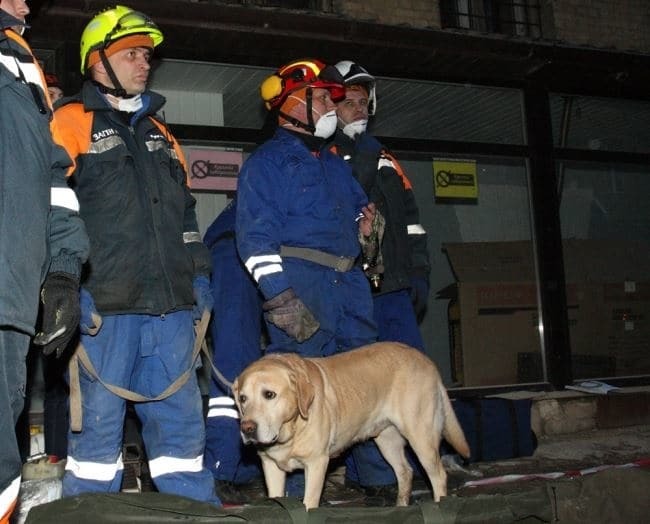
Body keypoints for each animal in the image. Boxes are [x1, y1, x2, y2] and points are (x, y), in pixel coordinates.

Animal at [230, 340, 468, 508]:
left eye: (269, 394)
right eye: (242, 399)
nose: (247, 428)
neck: (291, 430)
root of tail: (427, 362)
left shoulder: (317, 464)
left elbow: (309, 503)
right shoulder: (271, 467)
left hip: (421, 438)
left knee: (439, 476)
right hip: (387, 441)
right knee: (405, 472)